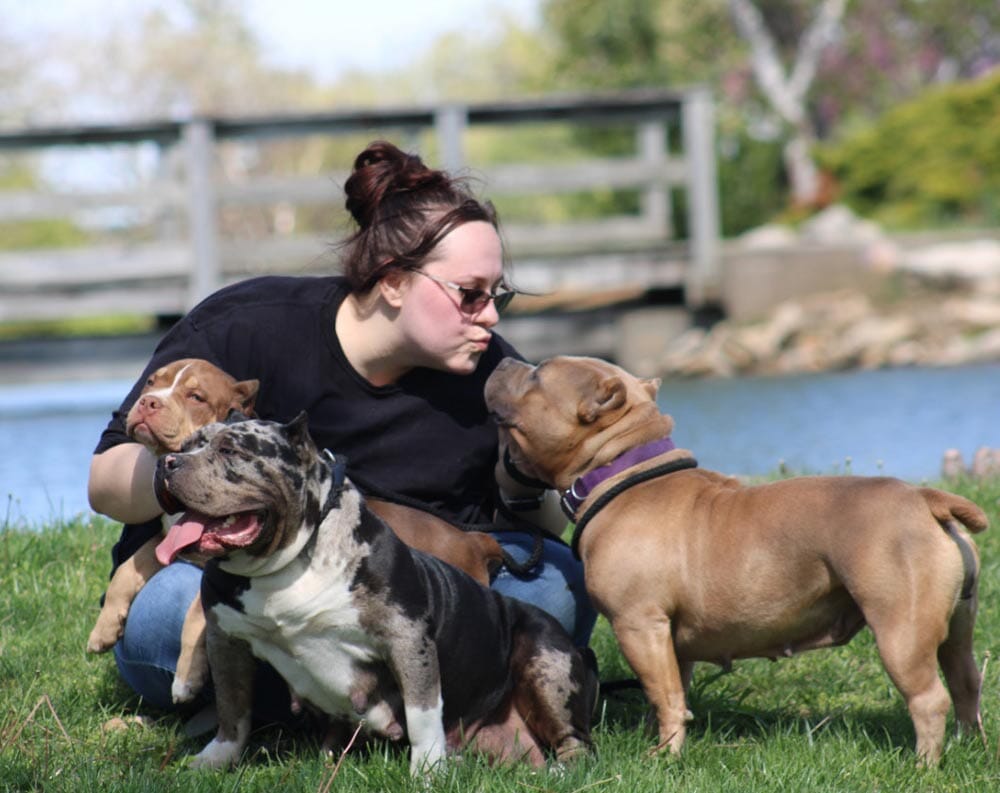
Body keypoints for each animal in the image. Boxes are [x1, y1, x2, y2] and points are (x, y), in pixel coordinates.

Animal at [155, 414, 592, 772]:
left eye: (230, 450)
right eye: (186, 445)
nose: (167, 463)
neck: (283, 564)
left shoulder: (407, 640)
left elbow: (422, 712)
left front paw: (427, 772)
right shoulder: (226, 640)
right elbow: (232, 709)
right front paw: (214, 760)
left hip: (546, 661)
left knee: (576, 741)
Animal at [486, 356, 992, 764]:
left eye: (537, 374)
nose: (503, 358)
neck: (621, 469)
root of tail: (925, 499)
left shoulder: (639, 624)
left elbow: (664, 694)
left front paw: (665, 757)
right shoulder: (668, 641)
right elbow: (669, 691)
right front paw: (659, 740)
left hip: (900, 631)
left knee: (929, 699)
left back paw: (924, 764)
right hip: (956, 628)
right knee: (965, 683)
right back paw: (969, 746)